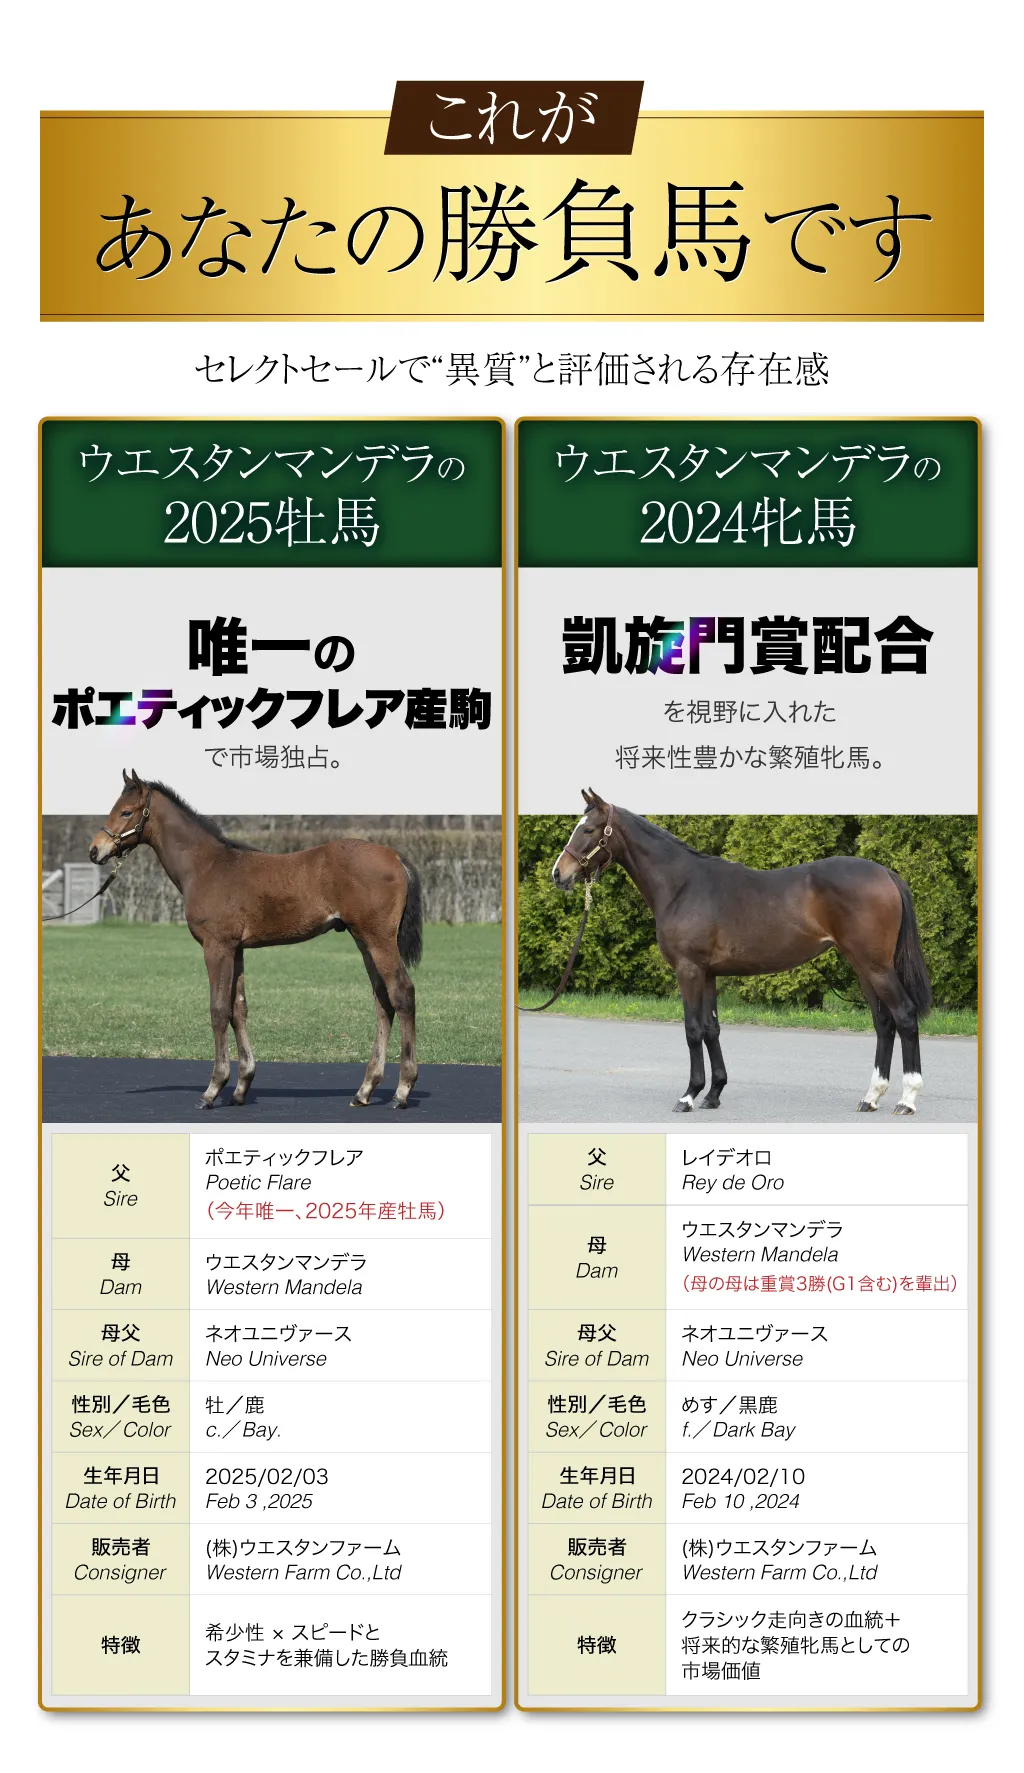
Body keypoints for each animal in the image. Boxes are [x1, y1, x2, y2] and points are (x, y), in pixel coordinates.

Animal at [90, 770, 423, 1110]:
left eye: (126, 812)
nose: (95, 850)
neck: (207, 867)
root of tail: (395, 856)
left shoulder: (217, 947)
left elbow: (218, 1010)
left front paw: (213, 1088)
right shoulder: (236, 950)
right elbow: (239, 1010)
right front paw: (241, 1086)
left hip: (379, 939)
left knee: (403, 994)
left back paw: (402, 1090)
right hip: (363, 941)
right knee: (383, 1001)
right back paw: (365, 1090)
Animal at [550, 790, 933, 1117]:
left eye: (587, 829)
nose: (558, 874)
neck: (682, 885)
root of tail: (887, 873)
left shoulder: (689, 969)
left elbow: (692, 1029)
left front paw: (688, 1095)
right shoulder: (707, 973)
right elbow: (711, 1029)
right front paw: (714, 1093)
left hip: (876, 965)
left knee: (904, 1015)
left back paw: (907, 1100)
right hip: (863, 965)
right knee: (884, 1023)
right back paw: (871, 1097)